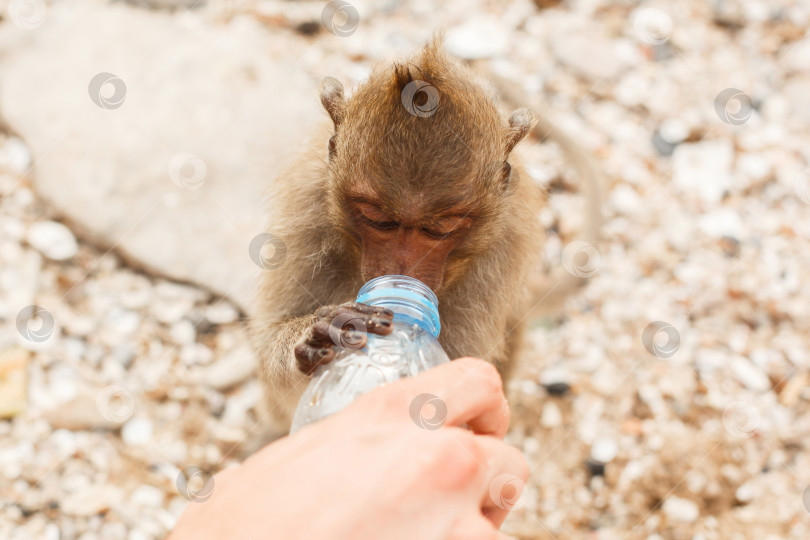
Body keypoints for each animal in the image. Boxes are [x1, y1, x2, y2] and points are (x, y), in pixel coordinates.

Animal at [251, 38, 600, 432]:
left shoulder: (501, 253)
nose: (402, 273)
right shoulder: (306, 207)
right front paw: (321, 334)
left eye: (440, 227)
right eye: (378, 219)